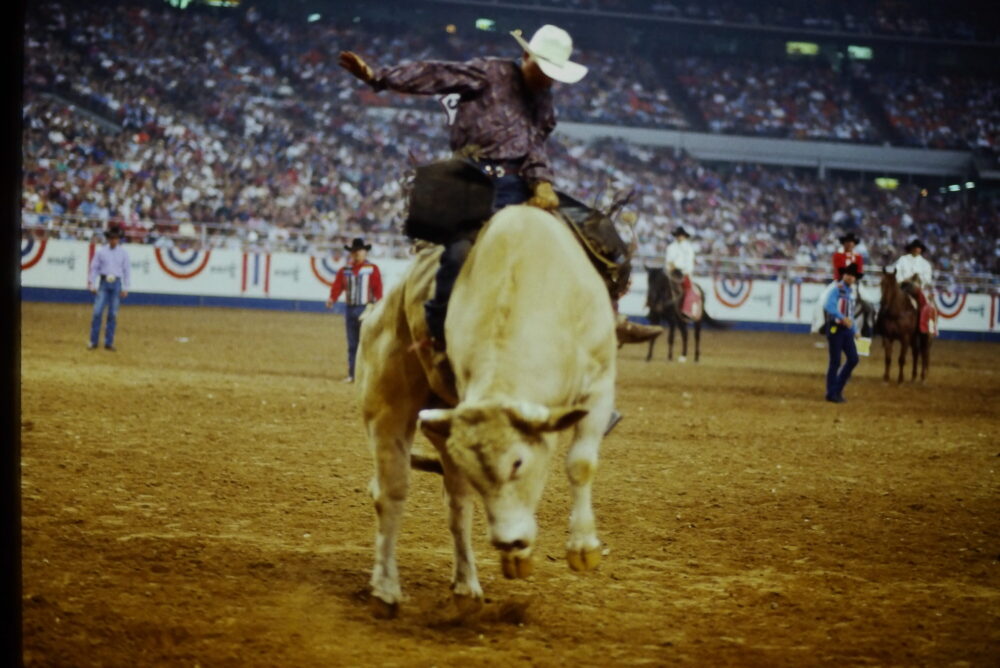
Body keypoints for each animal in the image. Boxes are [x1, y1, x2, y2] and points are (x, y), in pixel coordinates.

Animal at [356, 204, 617, 618]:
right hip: (387, 408)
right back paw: (386, 587)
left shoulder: (601, 381)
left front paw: (581, 548)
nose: (508, 542)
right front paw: (525, 556)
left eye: (518, 463)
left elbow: (580, 463)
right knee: (392, 494)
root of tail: (374, 312)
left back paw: (466, 585)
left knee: (456, 505)